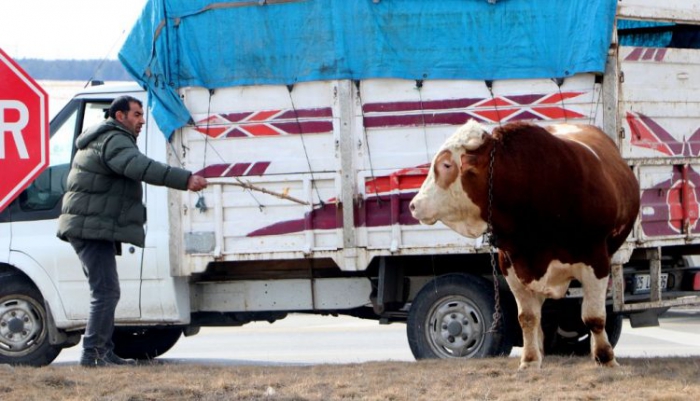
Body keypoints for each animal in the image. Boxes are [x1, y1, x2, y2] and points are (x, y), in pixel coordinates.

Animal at [410, 119, 640, 368]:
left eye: (446, 165)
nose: (414, 204)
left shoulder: (596, 261)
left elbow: (594, 316)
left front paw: (606, 358)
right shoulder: (511, 264)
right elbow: (527, 318)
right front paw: (529, 360)